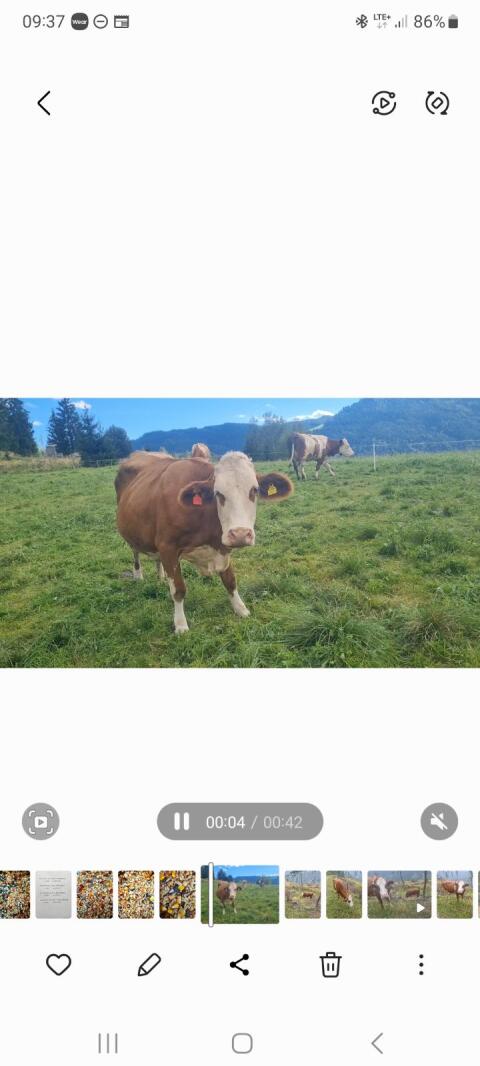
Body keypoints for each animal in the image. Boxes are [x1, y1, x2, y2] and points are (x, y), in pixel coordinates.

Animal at [115, 450, 293, 634]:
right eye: (218, 493)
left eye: (254, 490)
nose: (240, 534)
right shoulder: (168, 547)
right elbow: (178, 589)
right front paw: (180, 624)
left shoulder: (222, 547)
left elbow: (230, 581)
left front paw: (241, 609)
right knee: (135, 553)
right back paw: (138, 575)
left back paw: (161, 575)